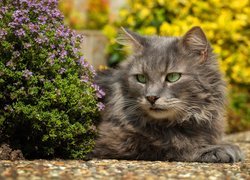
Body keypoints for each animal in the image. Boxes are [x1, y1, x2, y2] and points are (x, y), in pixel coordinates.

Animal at [93, 26, 243, 163]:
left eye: (173, 77)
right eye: (141, 78)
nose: (151, 97)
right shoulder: (115, 138)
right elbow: (172, 144)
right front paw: (217, 149)